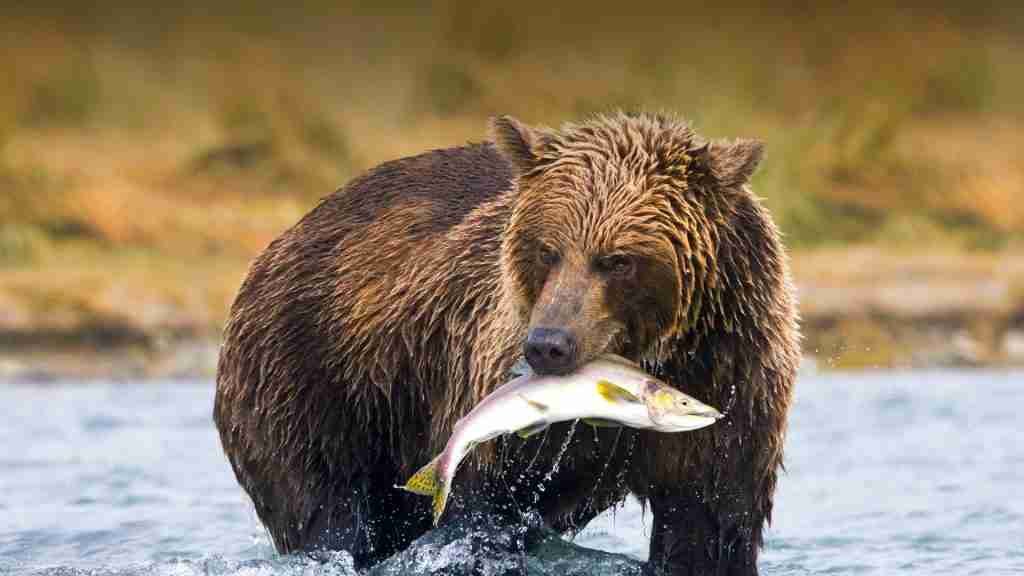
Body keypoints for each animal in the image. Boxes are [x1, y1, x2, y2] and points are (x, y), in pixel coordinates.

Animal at [214, 112, 798, 573]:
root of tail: (282, 240)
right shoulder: (489, 380)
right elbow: (482, 511)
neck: (658, 352)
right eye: (548, 249)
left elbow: (711, 524)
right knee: (326, 511)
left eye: (617, 260)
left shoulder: (734, 379)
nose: (547, 345)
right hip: (315, 382)